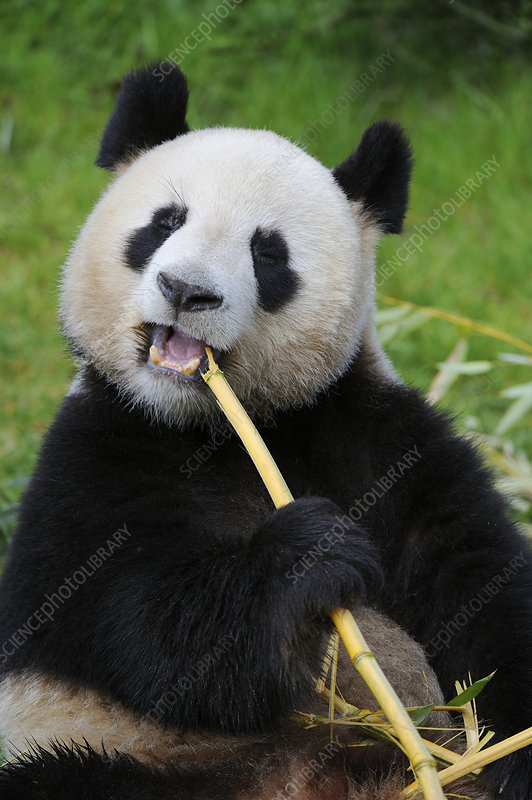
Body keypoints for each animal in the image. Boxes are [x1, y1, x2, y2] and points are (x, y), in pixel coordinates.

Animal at [1, 64, 532, 800]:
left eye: (267, 252)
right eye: (164, 223)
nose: (185, 290)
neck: (219, 427)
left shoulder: (368, 428)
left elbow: (474, 572)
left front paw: (510, 752)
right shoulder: (96, 451)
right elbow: (135, 613)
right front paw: (310, 552)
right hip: (129, 752)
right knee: (65, 776)